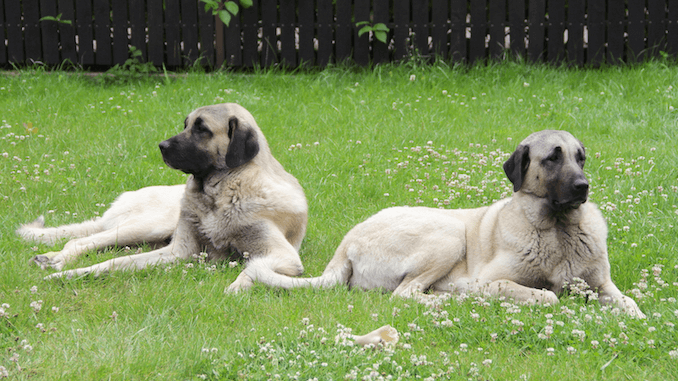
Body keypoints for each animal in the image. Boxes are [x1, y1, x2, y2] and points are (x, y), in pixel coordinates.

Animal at [19, 102, 308, 292]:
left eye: (202, 129)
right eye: (186, 125)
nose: (161, 146)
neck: (219, 192)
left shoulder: (283, 255)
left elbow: (253, 269)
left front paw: (238, 286)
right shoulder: (180, 251)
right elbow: (115, 262)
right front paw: (74, 274)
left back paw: (50, 257)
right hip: (150, 225)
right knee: (81, 241)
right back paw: (59, 260)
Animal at [248, 129, 648, 316]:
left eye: (581, 158)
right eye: (553, 157)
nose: (583, 186)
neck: (560, 228)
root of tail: (347, 243)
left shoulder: (602, 285)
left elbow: (628, 303)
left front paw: (638, 316)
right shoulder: (492, 281)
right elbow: (547, 295)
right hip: (448, 234)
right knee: (404, 294)